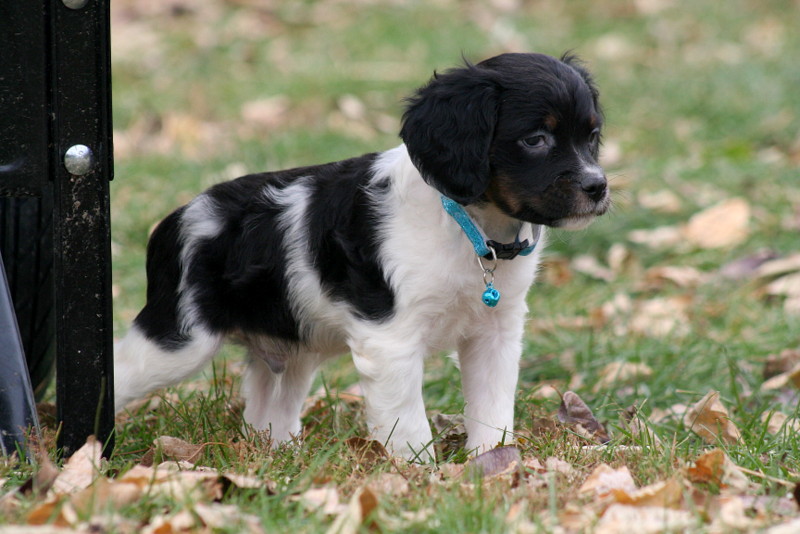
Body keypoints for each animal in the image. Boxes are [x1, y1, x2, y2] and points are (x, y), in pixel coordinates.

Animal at [115, 53, 608, 460]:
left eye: (592, 136)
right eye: (535, 139)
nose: (598, 186)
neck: (468, 226)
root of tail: (178, 217)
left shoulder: (497, 333)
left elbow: (492, 409)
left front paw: (493, 466)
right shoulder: (390, 341)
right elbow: (409, 425)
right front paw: (419, 479)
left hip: (290, 349)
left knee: (267, 412)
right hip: (179, 341)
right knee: (119, 374)